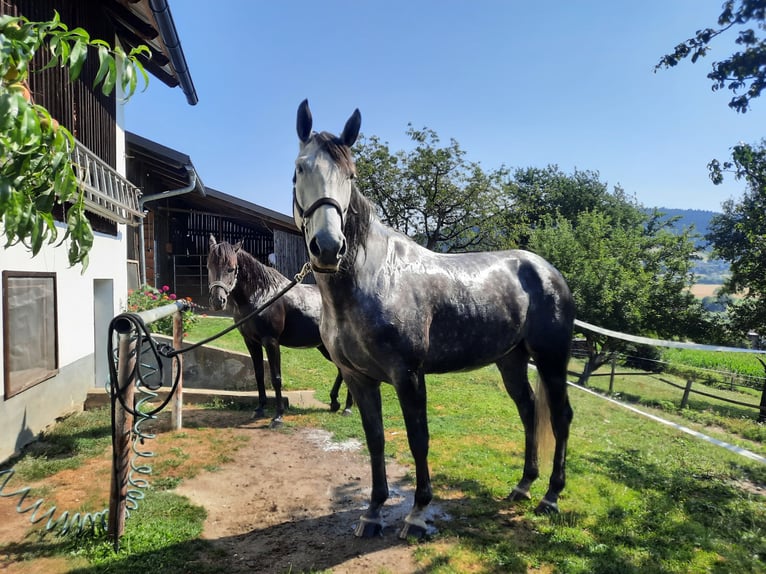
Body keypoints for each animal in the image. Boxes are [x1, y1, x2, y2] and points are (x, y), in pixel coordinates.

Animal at [207, 234, 352, 428]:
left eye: (231, 269)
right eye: (209, 267)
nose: (218, 301)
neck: (263, 295)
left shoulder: (271, 341)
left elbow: (276, 378)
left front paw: (278, 416)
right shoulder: (251, 342)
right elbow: (259, 374)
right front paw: (259, 409)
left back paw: (347, 408)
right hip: (324, 347)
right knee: (341, 369)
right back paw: (334, 402)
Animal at [294, 101, 576, 544]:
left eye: (351, 175)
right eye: (301, 167)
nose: (327, 247)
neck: (372, 278)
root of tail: (547, 270)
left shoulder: (408, 375)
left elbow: (418, 439)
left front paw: (417, 513)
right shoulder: (359, 378)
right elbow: (375, 440)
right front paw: (372, 513)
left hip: (551, 359)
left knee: (560, 416)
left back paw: (551, 496)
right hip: (511, 359)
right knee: (529, 410)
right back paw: (523, 486)